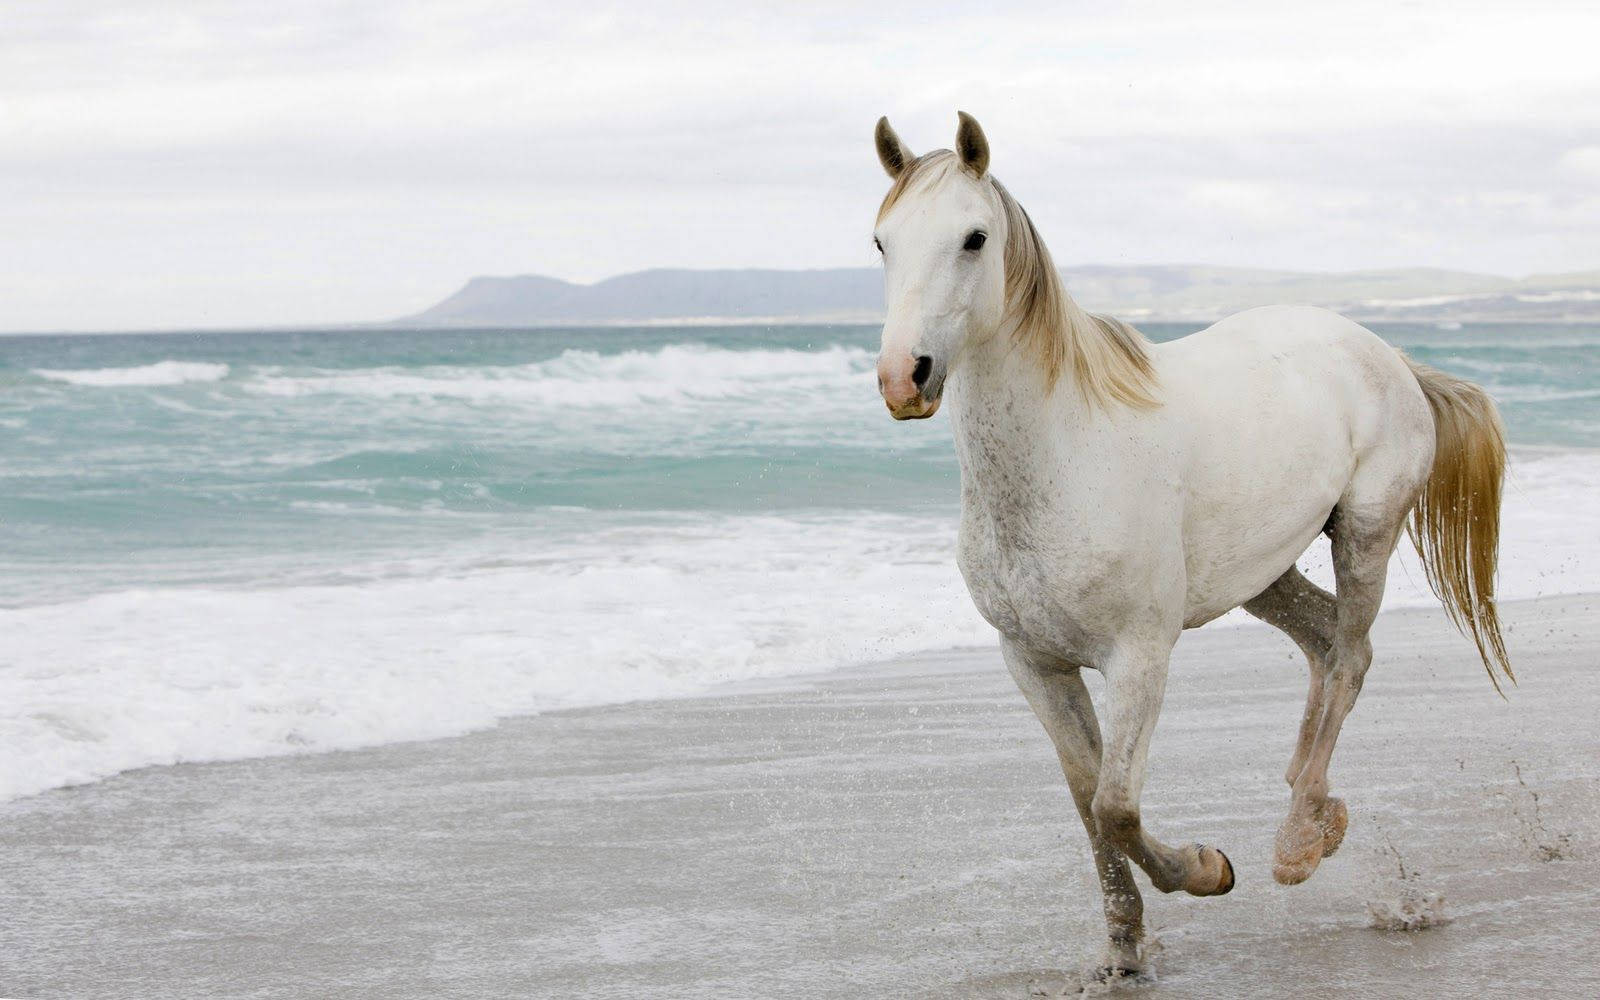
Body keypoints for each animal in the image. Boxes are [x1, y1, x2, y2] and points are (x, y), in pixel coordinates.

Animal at [869, 112, 1511, 980]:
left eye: (973, 238)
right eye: (882, 242)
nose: (905, 377)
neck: (1065, 454)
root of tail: (1385, 353)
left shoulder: (1140, 655)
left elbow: (1115, 804)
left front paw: (1209, 870)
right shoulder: (1034, 662)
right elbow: (1087, 801)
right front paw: (1122, 949)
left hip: (1366, 535)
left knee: (1350, 656)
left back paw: (1297, 841)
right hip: (1264, 573)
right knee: (1325, 644)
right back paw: (1314, 806)